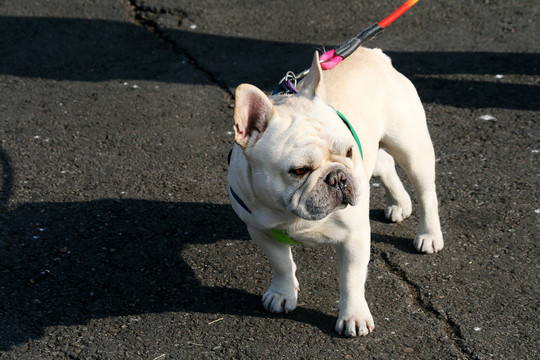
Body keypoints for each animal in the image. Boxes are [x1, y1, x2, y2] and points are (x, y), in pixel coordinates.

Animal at [228, 46, 442, 336]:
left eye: (348, 151)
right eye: (299, 170)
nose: (338, 177)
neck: (292, 216)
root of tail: (373, 53)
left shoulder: (354, 237)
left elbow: (351, 279)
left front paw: (354, 317)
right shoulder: (261, 231)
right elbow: (281, 264)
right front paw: (283, 293)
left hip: (412, 148)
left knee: (426, 192)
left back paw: (429, 234)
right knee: (384, 164)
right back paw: (398, 203)